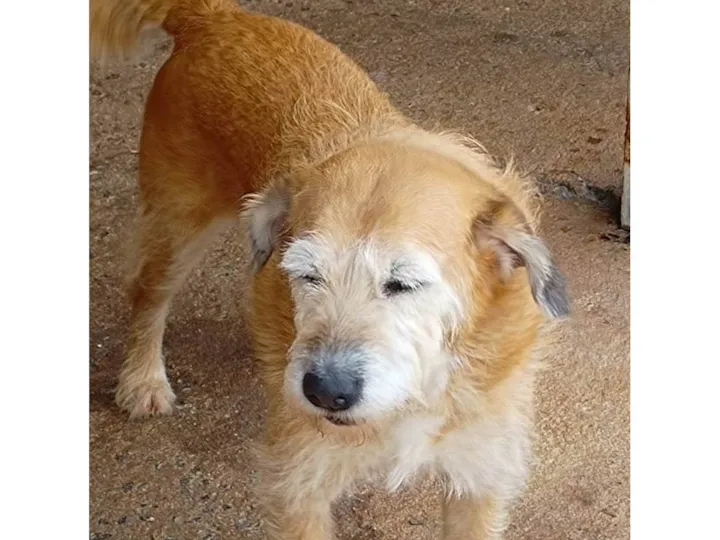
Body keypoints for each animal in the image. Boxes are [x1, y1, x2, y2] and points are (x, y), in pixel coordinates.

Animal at [90, 1, 569, 538]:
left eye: (403, 283)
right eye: (308, 275)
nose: (324, 392)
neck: (414, 394)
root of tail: (214, 17)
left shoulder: (479, 474)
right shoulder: (302, 481)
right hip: (178, 224)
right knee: (147, 293)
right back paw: (142, 380)